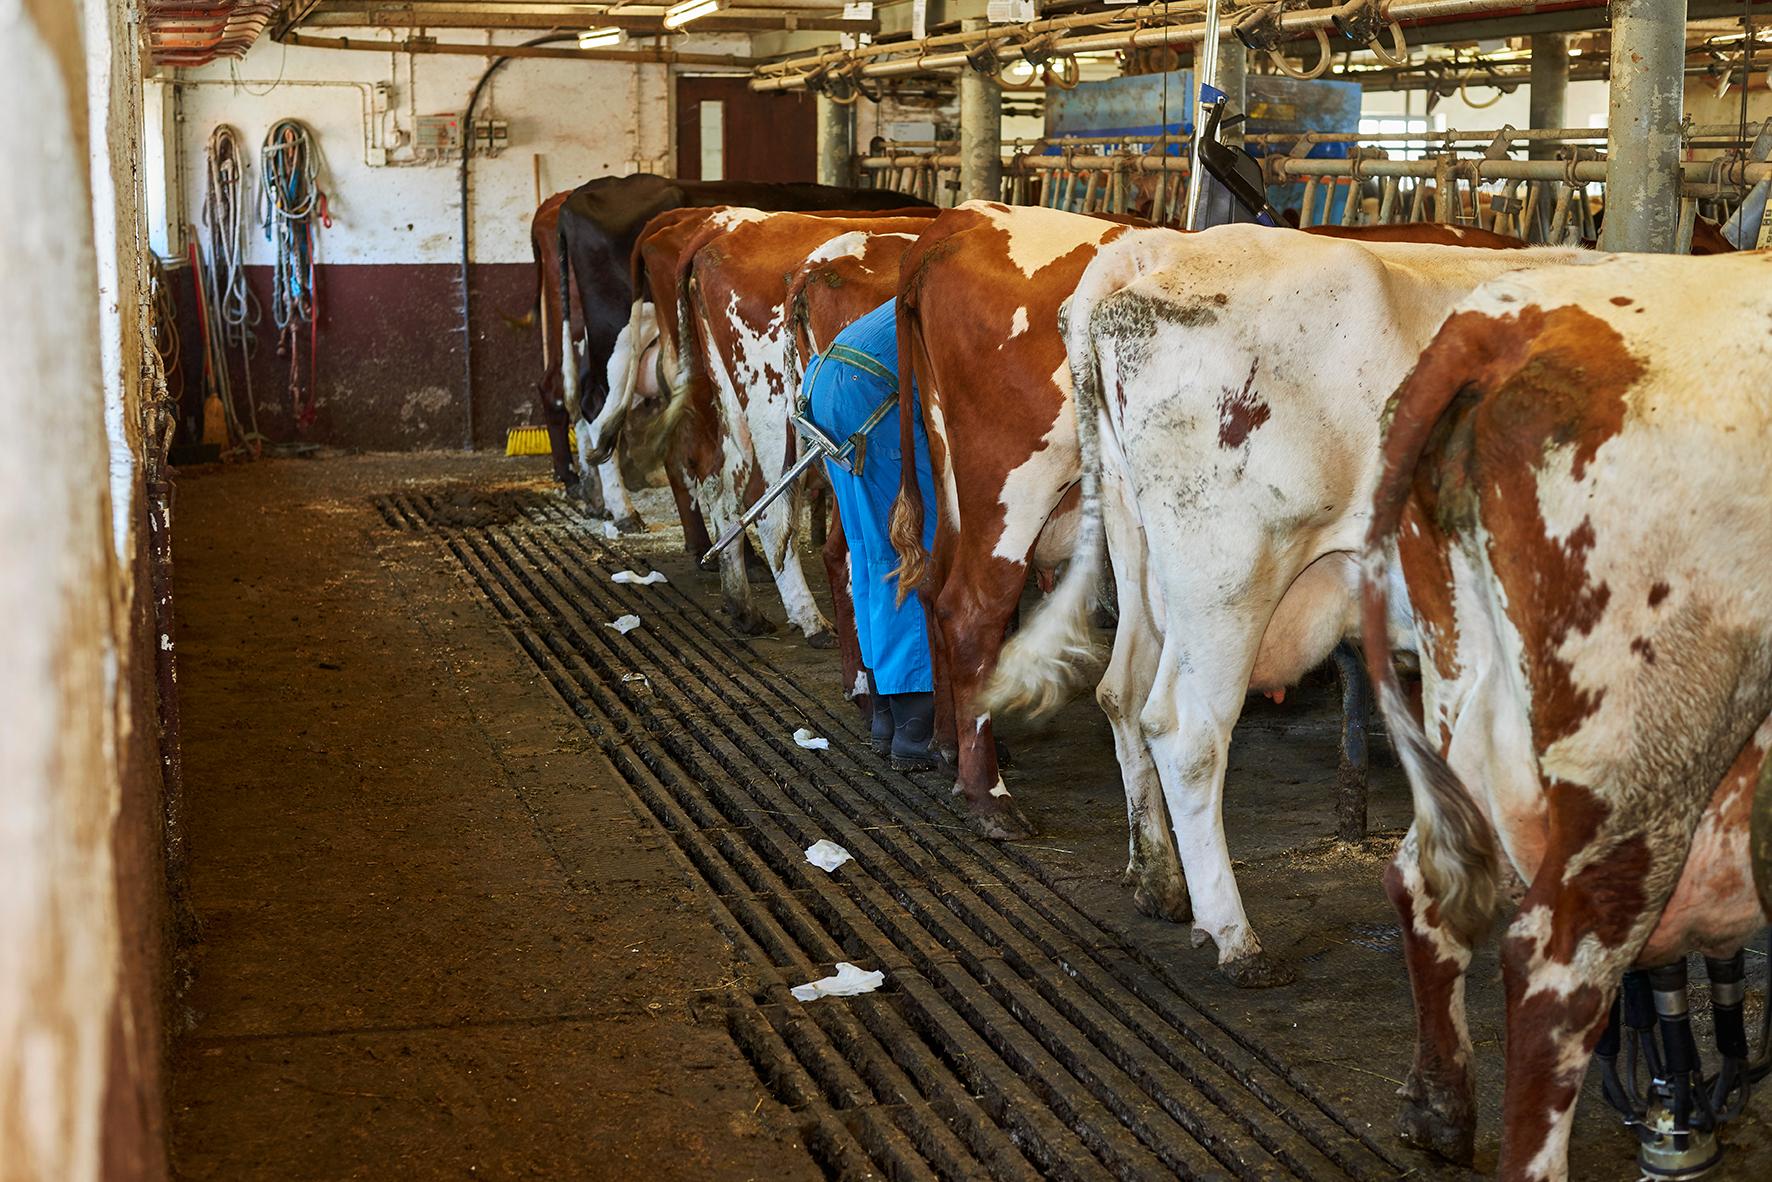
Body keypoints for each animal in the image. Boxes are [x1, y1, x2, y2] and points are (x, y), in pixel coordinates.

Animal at [978, 226, 1587, 985]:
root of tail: (1158, 248)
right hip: (1229, 575)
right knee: (1185, 732)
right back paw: (1236, 939)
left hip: (1142, 553)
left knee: (1121, 693)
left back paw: (1158, 882)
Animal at [1353, 248, 1772, 1176]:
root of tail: (1509, 321)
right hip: (1642, 764)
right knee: (1553, 971)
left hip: (1459, 699)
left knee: (1424, 879)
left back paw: (1438, 1110)